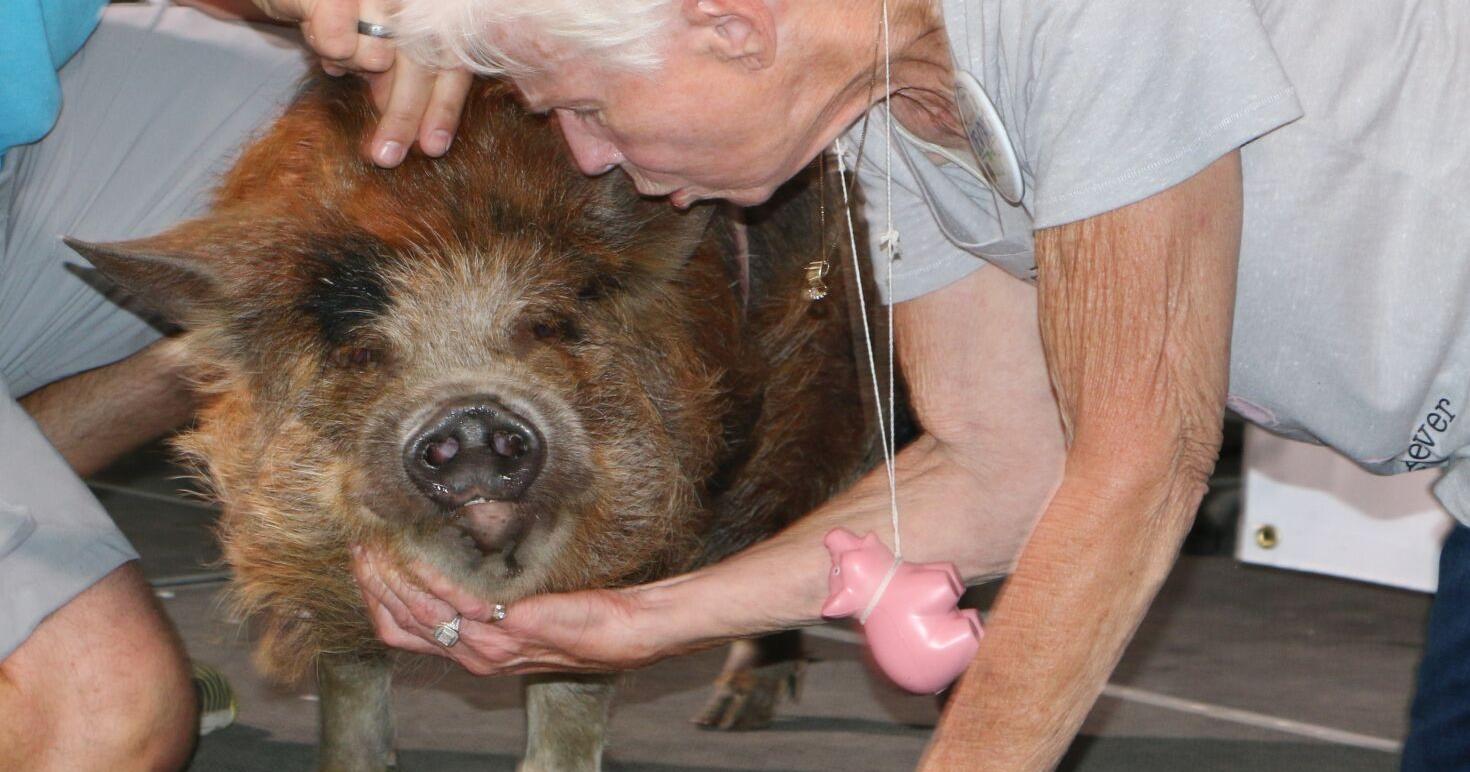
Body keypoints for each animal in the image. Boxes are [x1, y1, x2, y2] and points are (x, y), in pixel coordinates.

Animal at [68, 73, 881, 771]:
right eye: (363, 352)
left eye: (546, 326)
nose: (471, 417)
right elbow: (348, 692)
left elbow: (568, 703)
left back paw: (726, 717)